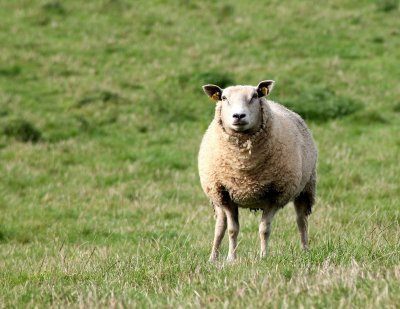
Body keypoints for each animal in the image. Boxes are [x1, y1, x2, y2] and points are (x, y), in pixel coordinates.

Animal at [198, 79, 318, 260]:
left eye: (254, 96)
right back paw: (213, 258)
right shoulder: (225, 193)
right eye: (224, 98)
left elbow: (264, 229)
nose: (238, 116)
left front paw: (263, 256)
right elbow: (232, 229)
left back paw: (305, 251)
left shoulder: (275, 194)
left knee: (301, 220)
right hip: (215, 194)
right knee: (220, 226)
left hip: (305, 188)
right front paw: (231, 258)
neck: (244, 166)